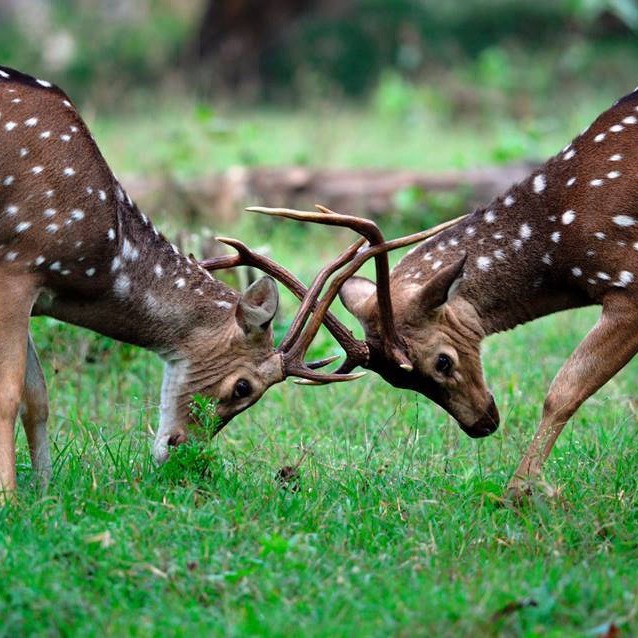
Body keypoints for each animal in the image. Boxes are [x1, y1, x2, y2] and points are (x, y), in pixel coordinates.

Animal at [251, 87, 638, 500]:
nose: (483, 424)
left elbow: (562, 390)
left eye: (442, 361)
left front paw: (519, 492)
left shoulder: (629, 282)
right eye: (398, 380)